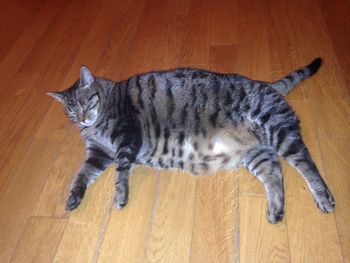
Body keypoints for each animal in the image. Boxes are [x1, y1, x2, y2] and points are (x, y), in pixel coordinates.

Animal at [46, 58, 334, 225]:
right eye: (71, 111)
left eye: (86, 103)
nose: (82, 119)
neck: (96, 126)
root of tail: (268, 85)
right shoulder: (98, 154)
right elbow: (82, 174)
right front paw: (73, 197)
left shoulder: (126, 139)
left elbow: (121, 173)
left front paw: (120, 196)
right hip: (256, 153)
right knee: (275, 173)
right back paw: (276, 211)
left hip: (277, 130)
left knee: (306, 162)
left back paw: (323, 197)